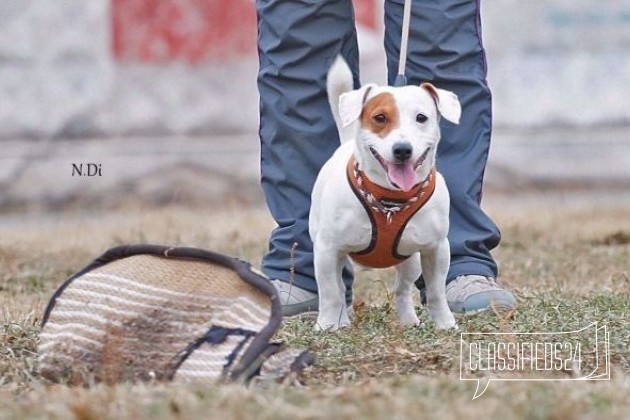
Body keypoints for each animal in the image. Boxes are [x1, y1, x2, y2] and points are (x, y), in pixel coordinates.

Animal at [314, 56, 462, 332]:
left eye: (421, 118)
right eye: (380, 118)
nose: (402, 149)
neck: (390, 198)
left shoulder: (436, 249)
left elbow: (436, 291)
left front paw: (445, 324)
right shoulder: (327, 250)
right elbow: (329, 293)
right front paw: (327, 324)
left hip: (410, 260)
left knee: (402, 290)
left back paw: (408, 320)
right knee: (339, 289)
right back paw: (341, 319)